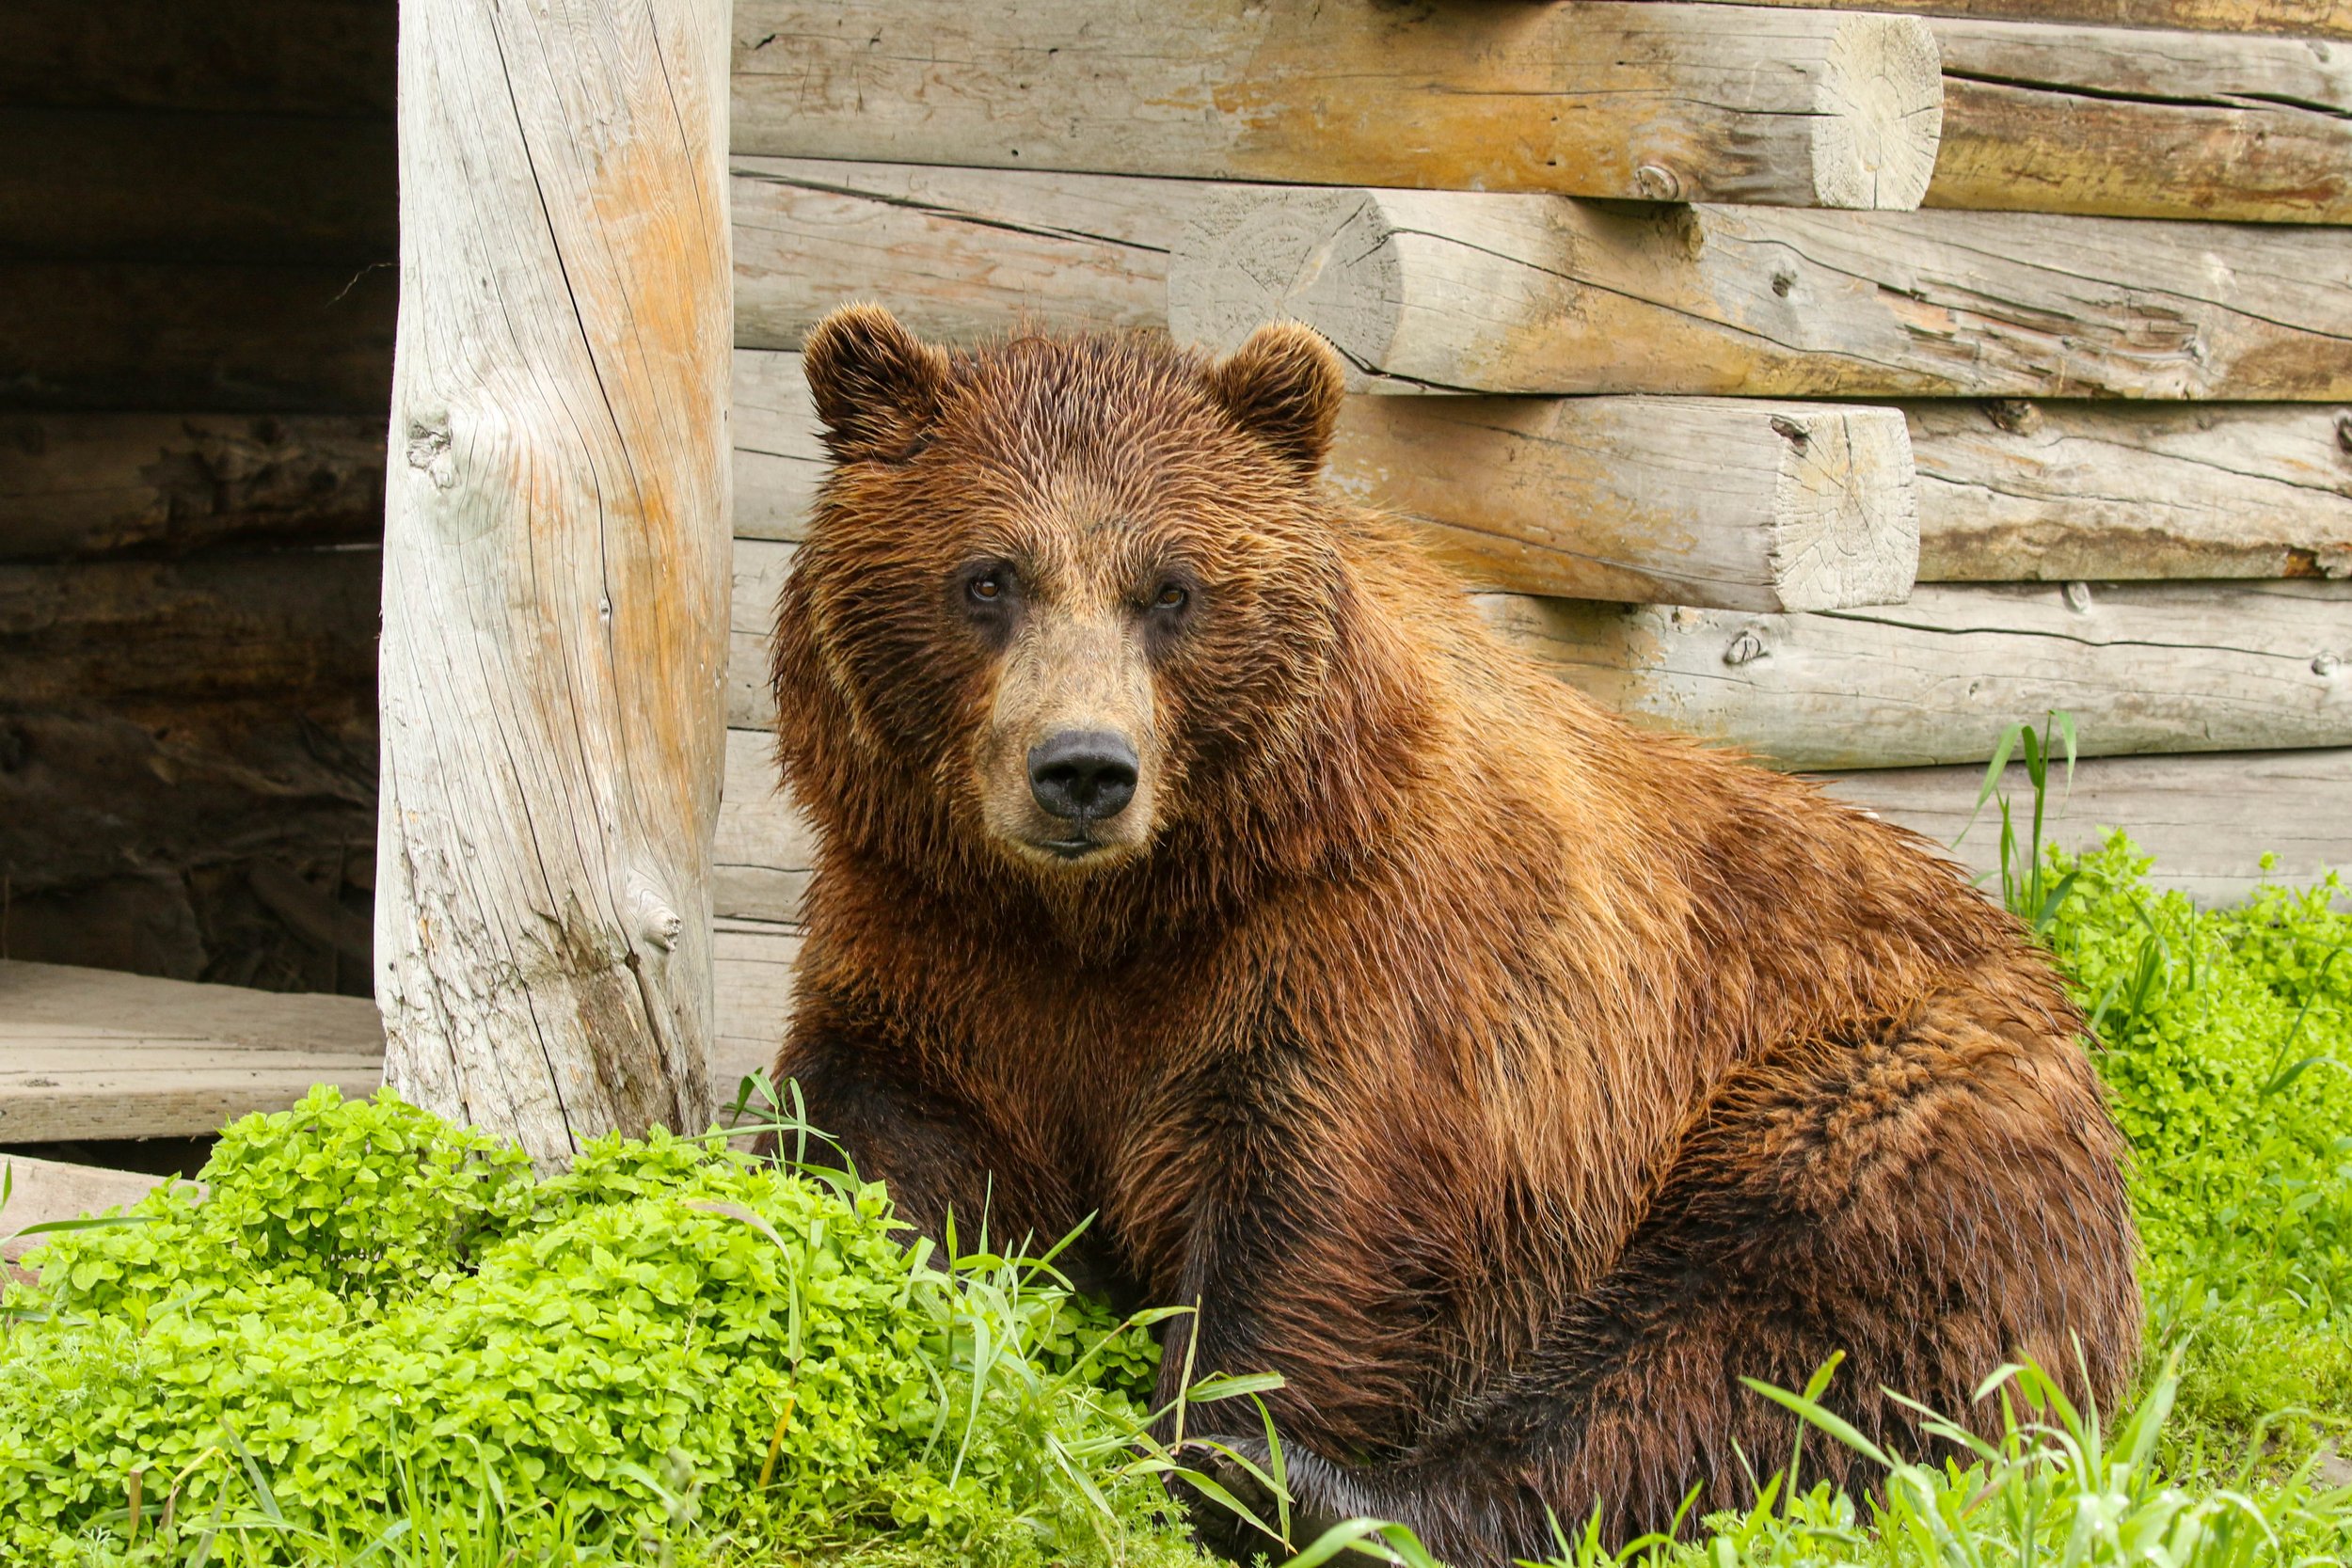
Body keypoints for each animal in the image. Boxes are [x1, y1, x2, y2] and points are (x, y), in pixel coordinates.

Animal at [763, 303, 2142, 1566]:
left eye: (1172, 589)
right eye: (987, 576)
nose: (1084, 769)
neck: (1128, 908)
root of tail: (2053, 1003)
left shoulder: (1365, 956)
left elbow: (1315, 1220)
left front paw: (1218, 1436)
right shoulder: (941, 943)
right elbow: (872, 1138)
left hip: (1860, 1103)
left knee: (1743, 1342)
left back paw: (1338, 1496)